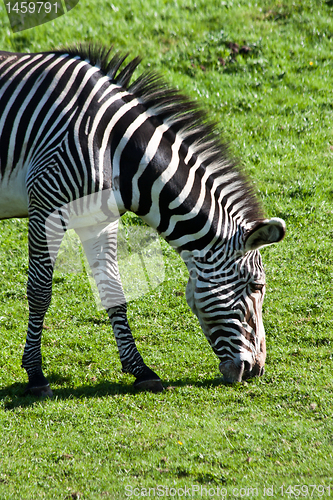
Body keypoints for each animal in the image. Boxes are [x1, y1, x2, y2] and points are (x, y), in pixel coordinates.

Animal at [0, 46, 286, 398]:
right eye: (257, 287)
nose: (256, 370)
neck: (113, 149)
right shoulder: (45, 205)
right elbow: (40, 290)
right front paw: (36, 374)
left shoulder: (100, 219)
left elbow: (113, 291)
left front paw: (141, 370)